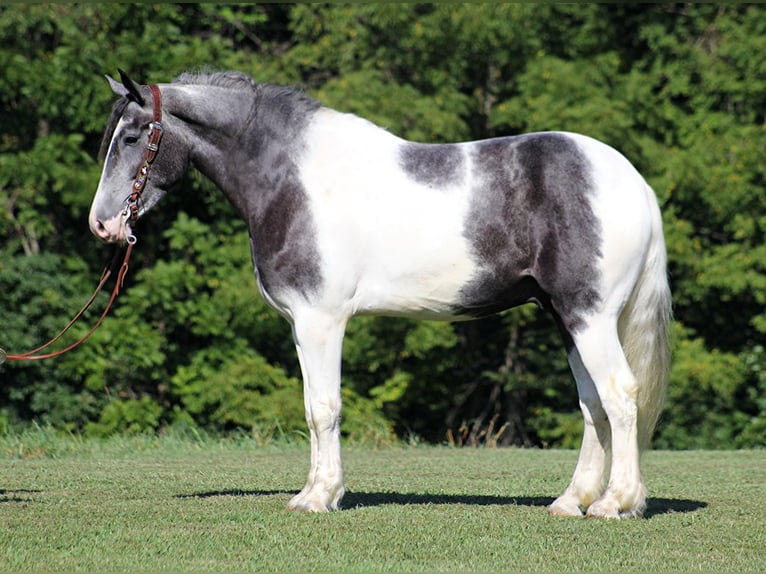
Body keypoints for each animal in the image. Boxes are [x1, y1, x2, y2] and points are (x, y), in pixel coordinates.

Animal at [91, 70, 672, 520]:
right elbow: (312, 408)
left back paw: (616, 503)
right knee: (593, 405)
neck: (291, 179)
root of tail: (634, 182)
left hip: (589, 317)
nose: (102, 224)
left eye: (132, 137)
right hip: (566, 318)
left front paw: (320, 497)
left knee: (620, 396)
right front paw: (312, 492)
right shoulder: (302, 325)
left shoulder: (321, 319)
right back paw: (572, 502)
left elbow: (324, 407)